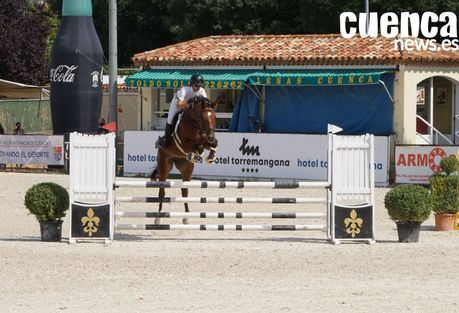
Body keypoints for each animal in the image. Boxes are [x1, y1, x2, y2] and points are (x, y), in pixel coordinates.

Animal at [150, 95, 220, 224]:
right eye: (204, 118)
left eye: (214, 117)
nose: (211, 137)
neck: (195, 124)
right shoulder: (184, 144)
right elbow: (198, 147)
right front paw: (198, 154)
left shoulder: (206, 140)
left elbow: (213, 144)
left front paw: (210, 157)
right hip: (164, 167)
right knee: (162, 192)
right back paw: (158, 218)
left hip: (186, 170)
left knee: (184, 191)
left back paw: (186, 217)